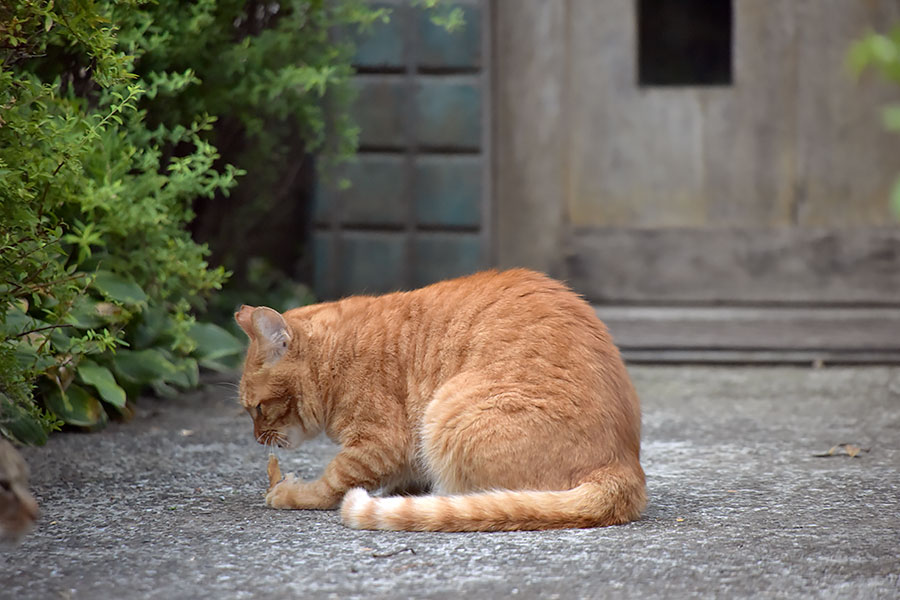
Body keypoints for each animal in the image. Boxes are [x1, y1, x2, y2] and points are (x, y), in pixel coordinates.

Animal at [236, 268, 644, 528]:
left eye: (258, 409)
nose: (256, 439)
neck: (334, 358)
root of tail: (624, 466)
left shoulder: (379, 442)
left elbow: (333, 482)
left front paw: (290, 493)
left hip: (446, 413)